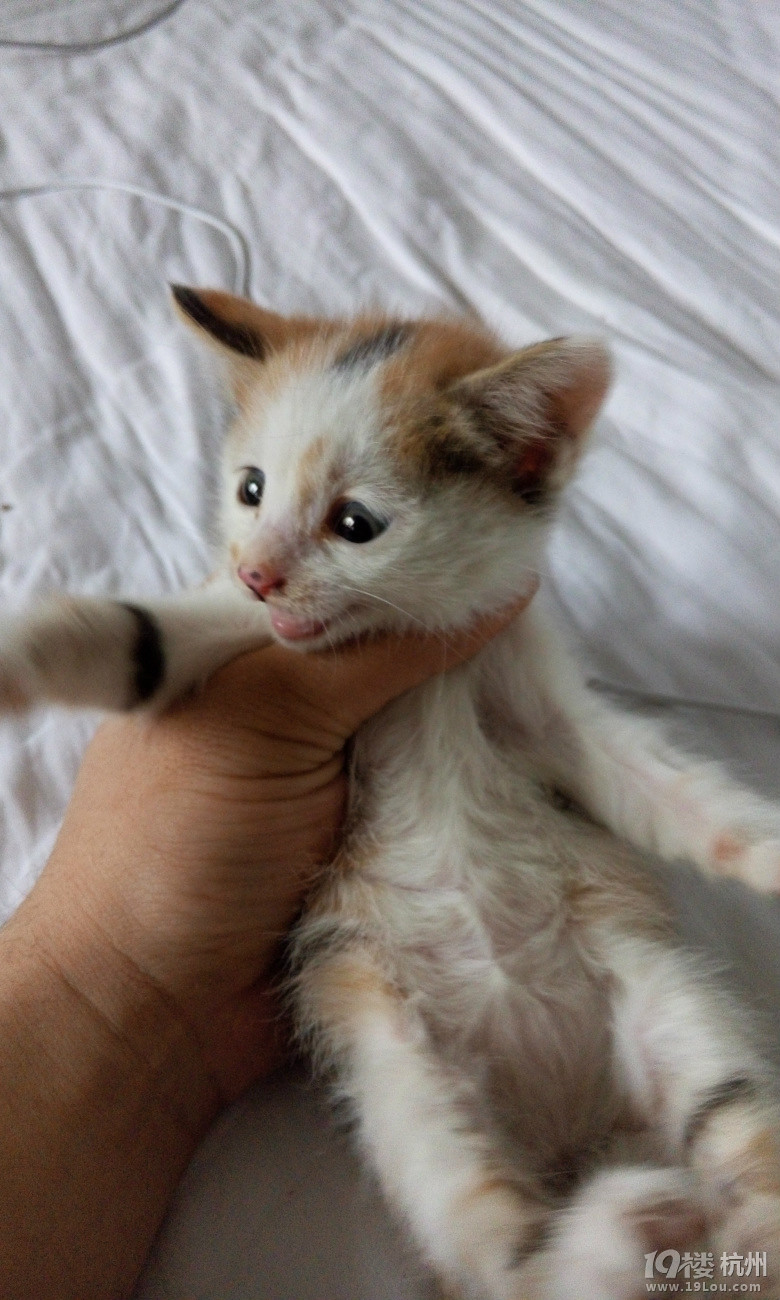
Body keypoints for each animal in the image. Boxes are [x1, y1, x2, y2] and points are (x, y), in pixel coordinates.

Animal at [4, 287, 780, 1300]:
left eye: (355, 524)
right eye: (250, 488)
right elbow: (166, 636)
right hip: (392, 1064)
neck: (422, 669)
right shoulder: (258, 642)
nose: (258, 569)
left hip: (667, 1000)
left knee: (734, 1130)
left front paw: (770, 849)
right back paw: (627, 1226)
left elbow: (666, 791)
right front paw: (43, 647)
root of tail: (565, 1128)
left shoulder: (542, 707)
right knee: (498, 1244)